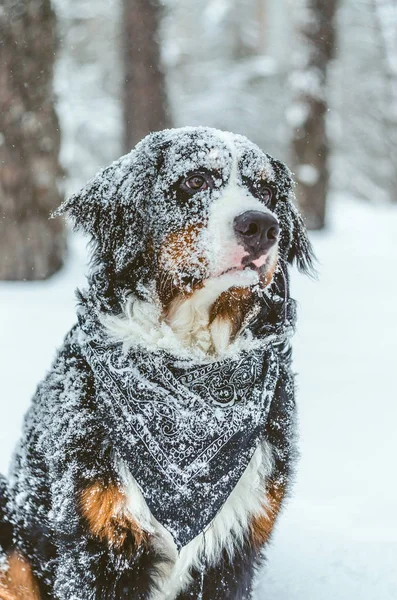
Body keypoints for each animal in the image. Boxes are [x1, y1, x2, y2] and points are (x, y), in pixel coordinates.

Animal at [0, 127, 312, 600]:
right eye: (196, 180)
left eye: (265, 191)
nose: (260, 225)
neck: (192, 361)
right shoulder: (95, 540)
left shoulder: (236, 545)